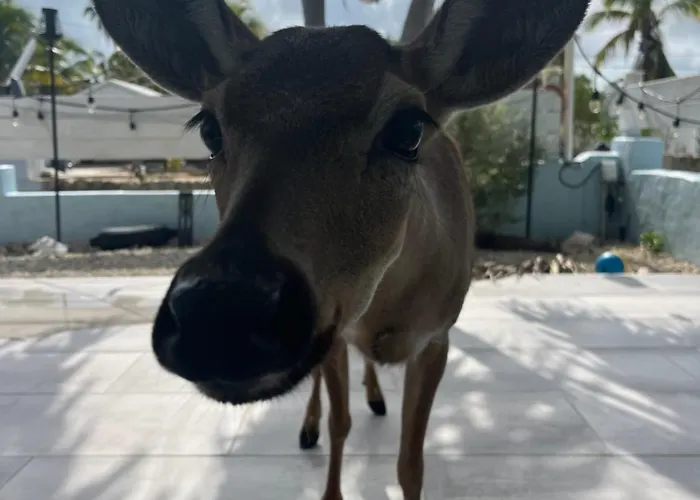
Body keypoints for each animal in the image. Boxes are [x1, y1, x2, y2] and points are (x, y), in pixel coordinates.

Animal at [91, 0, 590, 498]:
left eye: (409, 129)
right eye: (209, 130)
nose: (219, 312)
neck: (387, 305)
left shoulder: (437, 337)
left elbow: (412, 461)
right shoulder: (336, 330)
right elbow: (340, 424)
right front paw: (324, 445)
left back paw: (375, 395)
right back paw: (312, 424)